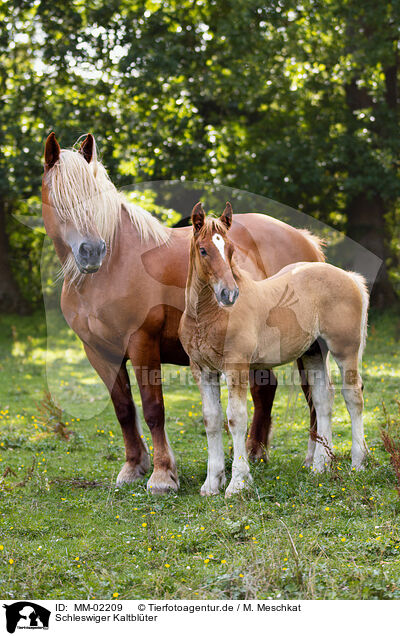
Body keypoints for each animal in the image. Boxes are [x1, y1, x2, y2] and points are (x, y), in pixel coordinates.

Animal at [42, 132, 324, 494]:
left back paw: (312, 459)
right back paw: (253, 454)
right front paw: (133, 467)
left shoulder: (142, 344)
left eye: (95, 196)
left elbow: (153, 409)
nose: (91, 251)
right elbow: (123, 409)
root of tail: (304, 240)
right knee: (266, 389)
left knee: (312, 394)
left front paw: (162, 475)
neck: (113, 266)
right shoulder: (99, 352)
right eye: (57, 197)